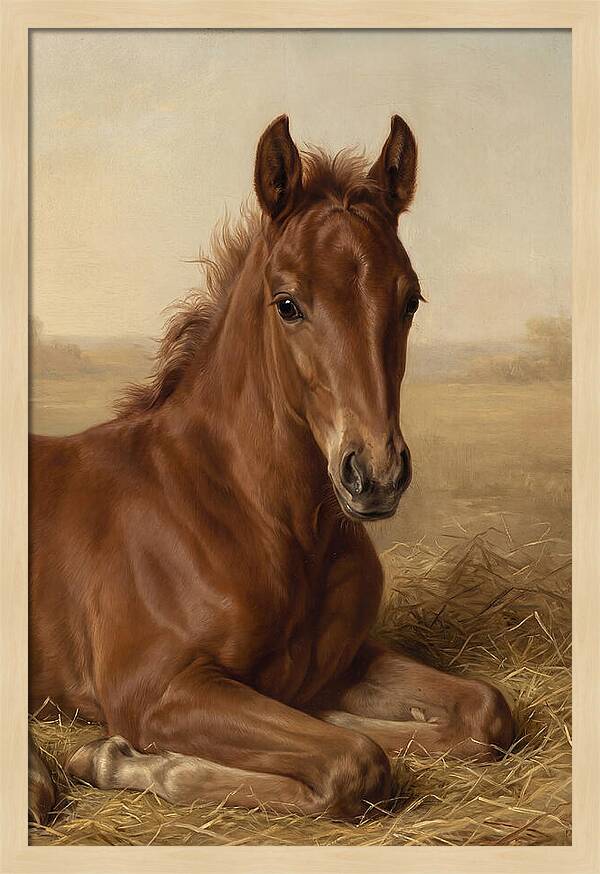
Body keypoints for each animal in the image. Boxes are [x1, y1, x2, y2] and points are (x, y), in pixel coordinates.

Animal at [28, 115, 514, 824]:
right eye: (287, 303)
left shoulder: (342, 662)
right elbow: (354, 761)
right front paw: (118, 758)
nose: (376, 473)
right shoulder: (155, 690)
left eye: (411, 300)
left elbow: (483, 711)